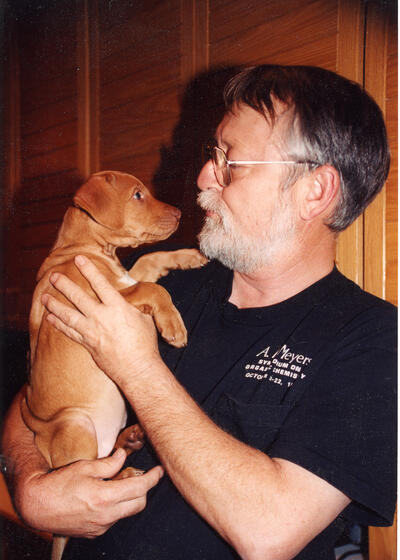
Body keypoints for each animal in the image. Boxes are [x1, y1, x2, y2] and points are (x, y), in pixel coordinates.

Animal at [19, 171, 206, 560]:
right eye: (137, 195)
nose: (181, 213)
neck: (92, 253)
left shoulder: (125, 282)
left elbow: (150, 263)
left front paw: (187, 256)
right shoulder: (103, 300)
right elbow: (153, 290)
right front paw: (174, 326)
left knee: (110, 455)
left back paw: (131, 439)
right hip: (76, 425)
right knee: (96, 475)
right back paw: (124, 475)